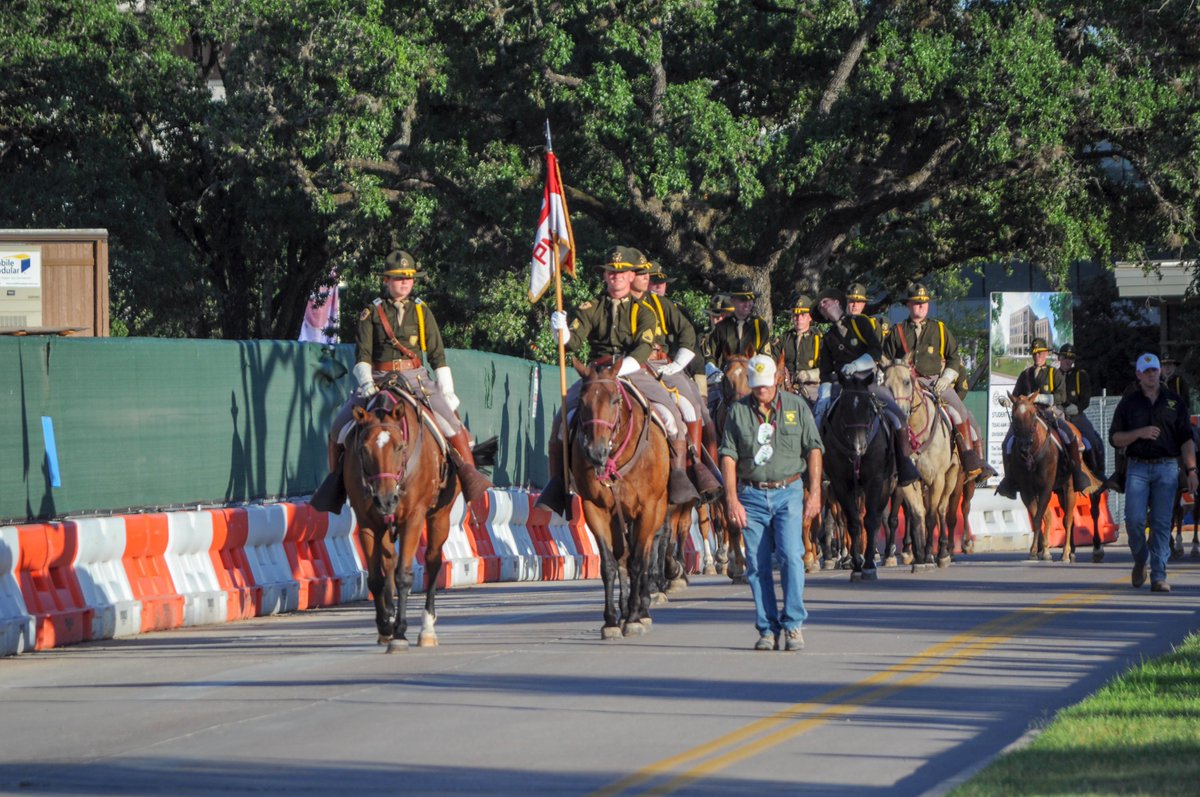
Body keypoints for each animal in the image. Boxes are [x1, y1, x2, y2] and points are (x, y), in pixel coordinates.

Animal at [348, 386, 463, 652]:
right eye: (363, 450)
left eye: (400, 447)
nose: (386, 500)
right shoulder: (367, 522)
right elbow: (376, 579)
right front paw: (385, 626)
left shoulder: (413, 517)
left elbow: (403, 575)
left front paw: (399, 632)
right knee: (389, 560)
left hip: (439, 516)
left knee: (432, 561)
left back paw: (427, 628)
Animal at [566, 357, 672, 638]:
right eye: (582, 401)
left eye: (615, 400)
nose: (596, 452)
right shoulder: (596, 509)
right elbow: (610, 564)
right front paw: (612, 619)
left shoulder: (647, 510)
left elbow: (638, 561)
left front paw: (634, 616)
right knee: (623, 556)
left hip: (657, 511)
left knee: (645, 553)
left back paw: (641, 607)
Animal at [820, 369, 897, 583]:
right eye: (844, 408)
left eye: (869, 408)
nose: (859, 446)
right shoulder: (839, 484)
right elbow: (852, 522)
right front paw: (855, 566)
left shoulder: (875, 481)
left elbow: (871, 521)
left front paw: (869, 566)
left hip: (888, 486)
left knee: (882, 519)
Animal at [888, 364, 960, 568]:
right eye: (885, 383)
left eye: (906, 382)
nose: (899, 412)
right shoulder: (908, 481)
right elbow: (916, 514)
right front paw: (918, 555)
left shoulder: (937, 479)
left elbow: (931, 517)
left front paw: (928, 554)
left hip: (951, 477)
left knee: (942, 510)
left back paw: (943, 552)